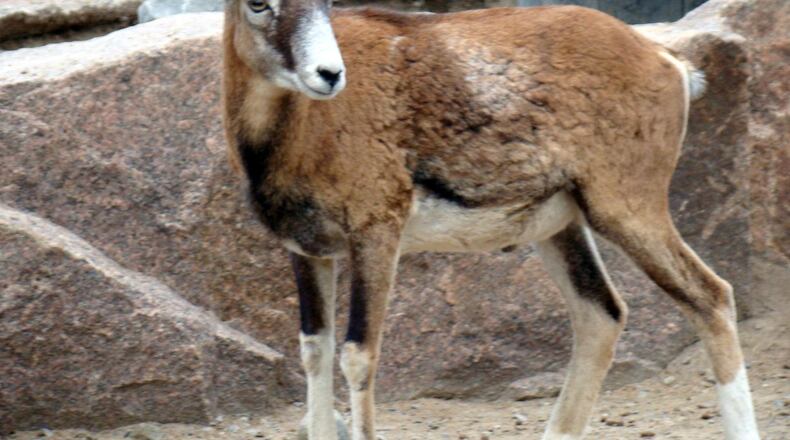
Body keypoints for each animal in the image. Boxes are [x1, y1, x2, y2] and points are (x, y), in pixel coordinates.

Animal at [222, 1, 760, 439]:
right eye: (258, 3)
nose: (328, 74)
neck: (296, 132)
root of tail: (668, 63)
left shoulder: (376, 238)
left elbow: (358, 356)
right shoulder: (308, 253)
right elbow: (315, 352)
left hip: (629, 211)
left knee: (711, 297)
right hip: (563, 229)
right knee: (601, 315)